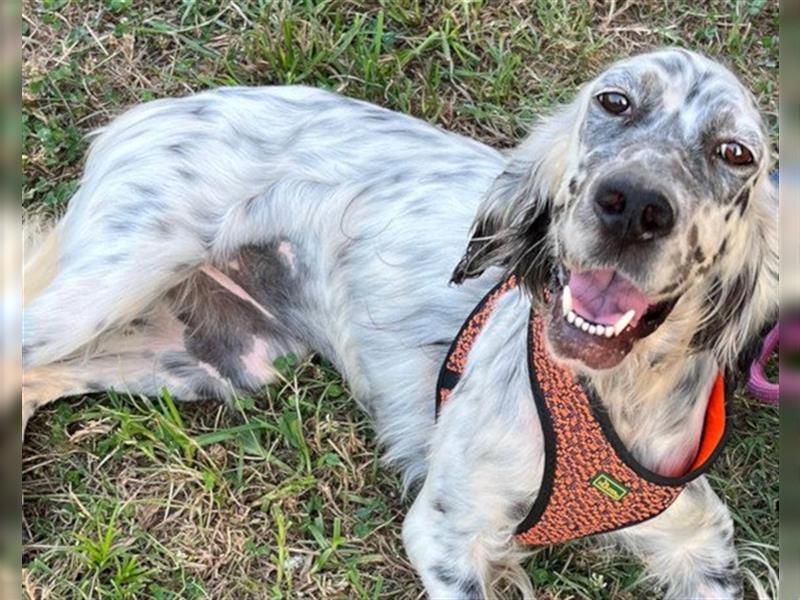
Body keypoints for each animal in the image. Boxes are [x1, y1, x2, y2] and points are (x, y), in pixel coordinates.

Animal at [21, 48, 780, 600]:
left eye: (735, 153)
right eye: (613, 101)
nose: (633, 205)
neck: (615, 394)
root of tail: (152, 109)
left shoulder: (699, 542)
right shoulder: (447, 533)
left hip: (212, 360)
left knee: (34, 377)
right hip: (107, 286)